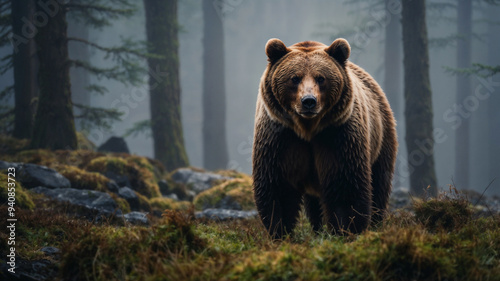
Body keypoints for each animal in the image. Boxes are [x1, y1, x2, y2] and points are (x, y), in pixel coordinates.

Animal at [254, 37, 398, 238]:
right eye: (295, 78)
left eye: (320, 78)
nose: (308, 101)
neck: (308, 128)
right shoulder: (281, 136)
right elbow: (278, 185)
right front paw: (280, 231)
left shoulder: (337, 134)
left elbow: (345, 184)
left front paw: (347, 229)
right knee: (313, 204)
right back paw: (317, 228)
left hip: (381, 135)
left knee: (379, 182)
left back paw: (376, 223)